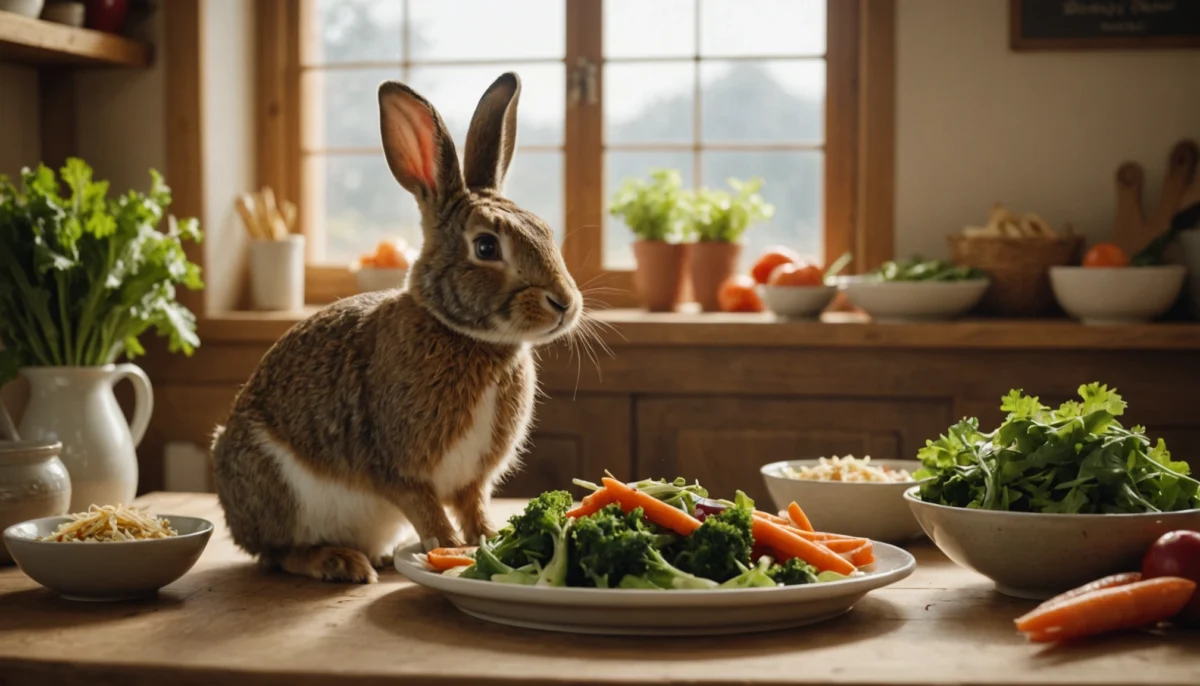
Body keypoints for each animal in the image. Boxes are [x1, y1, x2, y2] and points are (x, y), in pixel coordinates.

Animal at [211, 72, 582, 584]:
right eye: (486, 247)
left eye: (545, 231)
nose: (564, 303)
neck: (469, 337)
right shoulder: (398, 467)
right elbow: (426, 509)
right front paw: (451, 548)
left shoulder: (472, 478)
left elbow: (473, 506)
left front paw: (490, 539)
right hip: (277, 492)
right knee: (278, 553)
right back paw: (339, 562)